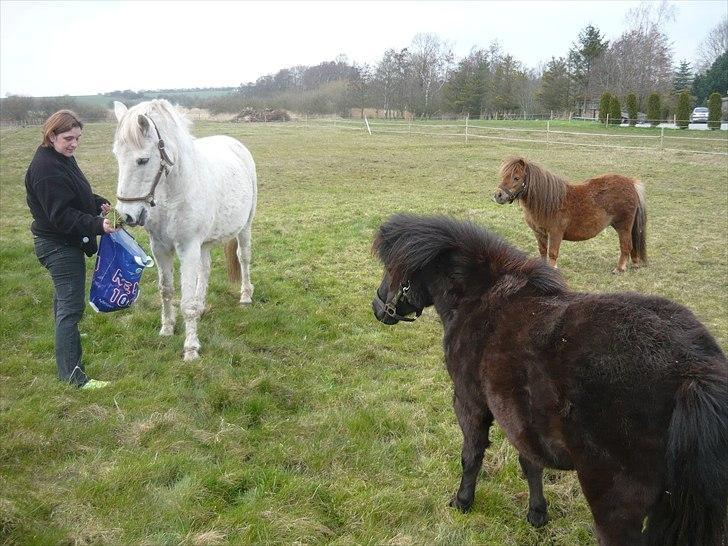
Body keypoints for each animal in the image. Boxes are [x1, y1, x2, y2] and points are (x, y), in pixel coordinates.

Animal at [112, 99, 258, 360]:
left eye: (142, 160)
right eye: (117, 156)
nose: (127, 215)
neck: (173, 193)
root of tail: (234, 144)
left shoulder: (188, 247)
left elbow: (186, 300)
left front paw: (191, 348)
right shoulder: (160, 249)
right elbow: (166, 290)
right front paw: (167, 329)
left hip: (245, 228)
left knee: (243, 258)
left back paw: (245, 296)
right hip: (205, 243)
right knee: (205, 268)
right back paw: (202, 307)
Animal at [372, 214, 724, 544]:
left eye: (392, 269)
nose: (378, 306)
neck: (481, 298)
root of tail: (692, 369)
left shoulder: (470, 404)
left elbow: (471, 456)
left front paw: (462, 502)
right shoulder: (523, 420)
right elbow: (531, 464)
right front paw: (537, 514)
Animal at [494, 156, 648, 272]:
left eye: (516, 178)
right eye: (503, 175)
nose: (498, 195)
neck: (548, 202)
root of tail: (631, 183)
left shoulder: (555, 233)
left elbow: (552, 253)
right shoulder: (539, 233)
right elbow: (543, 251)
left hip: (623, 226)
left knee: (626, 246)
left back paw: (620, 268)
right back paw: (634, 263)